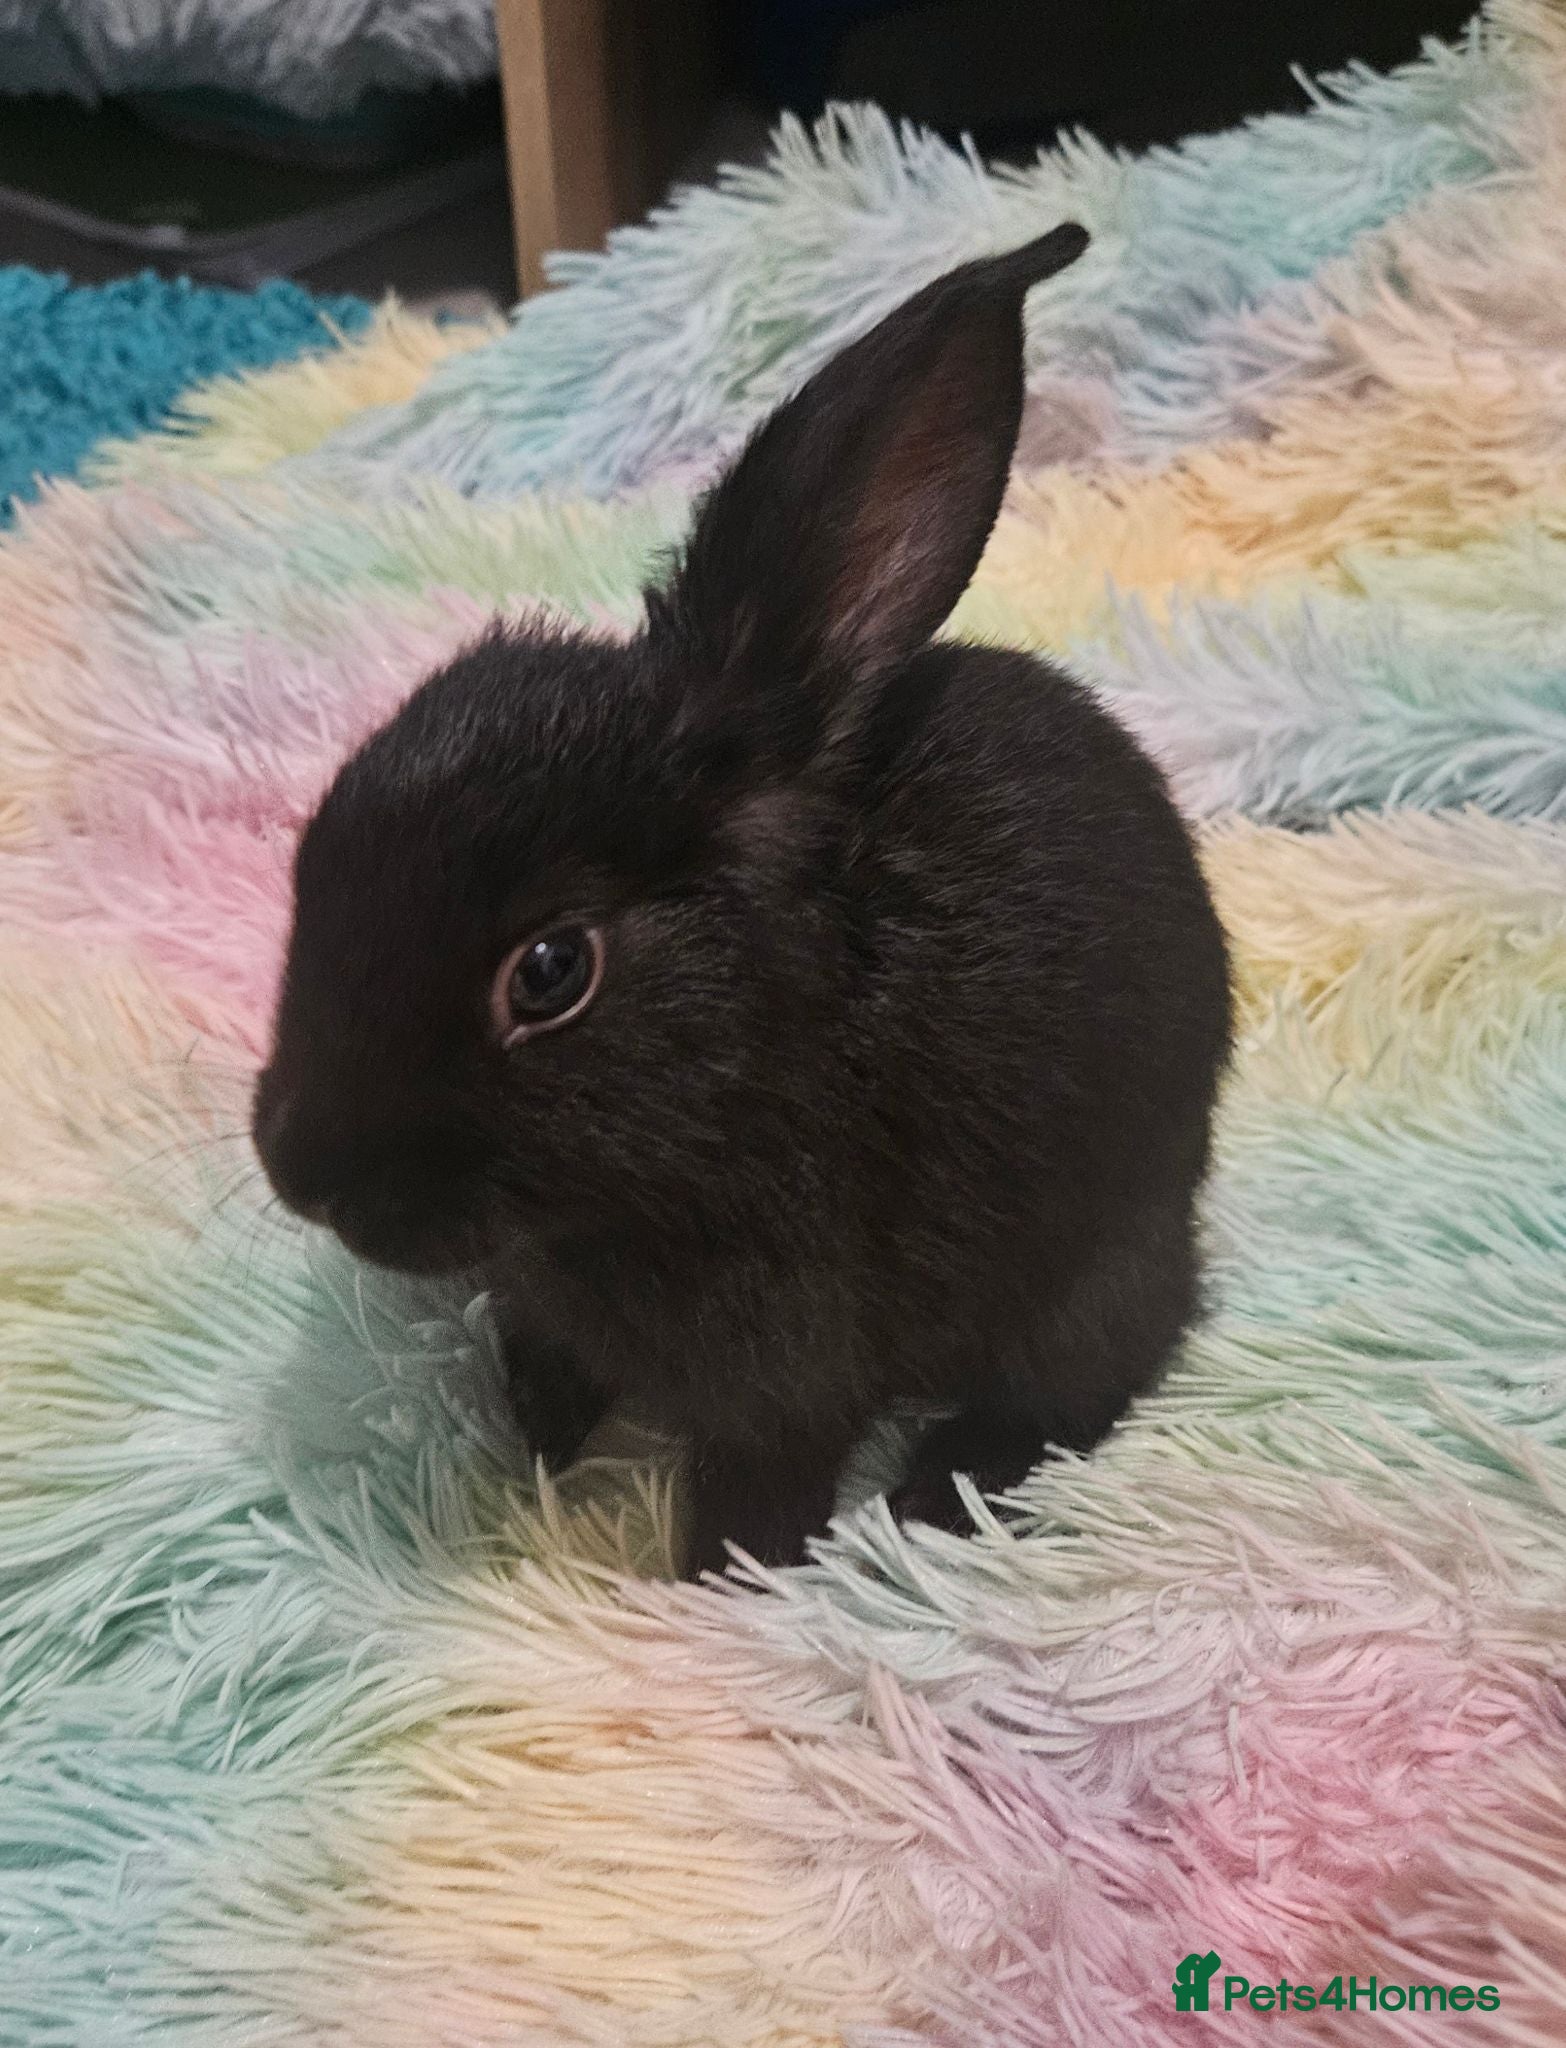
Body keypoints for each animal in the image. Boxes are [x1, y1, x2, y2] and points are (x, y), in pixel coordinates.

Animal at [253, 223, 1232, 1579]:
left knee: (1097, 1373)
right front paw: (538, 1439)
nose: (299, 1166)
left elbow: (761, 1488)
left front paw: (719, 1583)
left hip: (1098, 1264)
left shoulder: (790, 1372)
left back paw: (939, 1494)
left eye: (549, 971)